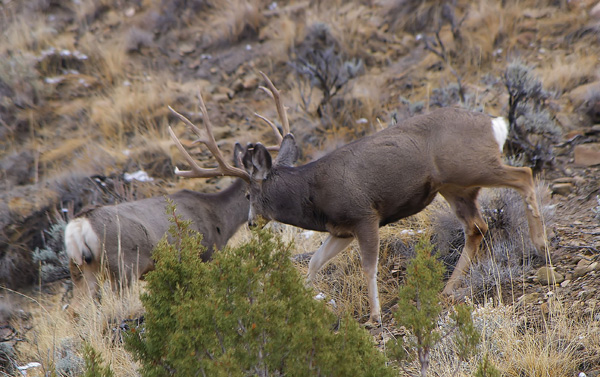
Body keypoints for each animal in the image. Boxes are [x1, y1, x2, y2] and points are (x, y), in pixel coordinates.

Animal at [170, 72, 548, 324]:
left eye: (249, 193)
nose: (251, 223)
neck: (312, 194)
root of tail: (495, 124)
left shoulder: (365, 215)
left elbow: (369, 267)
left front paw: (374, 317)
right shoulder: (341, 230)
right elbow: (314, 261)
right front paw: (303, 299)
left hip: (470, 167)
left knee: (524, 175)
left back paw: (540, 242)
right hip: (455, 188)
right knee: (477, 226)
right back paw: (447, 289)